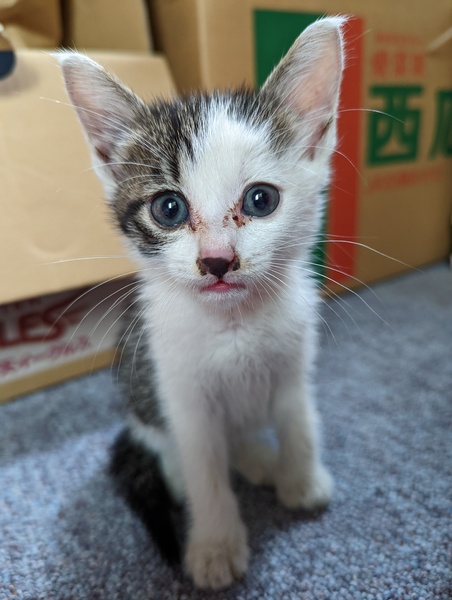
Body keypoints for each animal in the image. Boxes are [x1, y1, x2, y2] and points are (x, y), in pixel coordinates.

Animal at [59, 16, 345, 590]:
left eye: (261, 199)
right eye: (168, 209)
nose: (217, 261)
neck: (235, 325)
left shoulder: (295, 358)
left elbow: (298, 419)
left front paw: (302, 481)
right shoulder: (179, 389)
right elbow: (204, 468)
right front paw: (215, 546)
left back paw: (258, 458)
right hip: (145, 401)